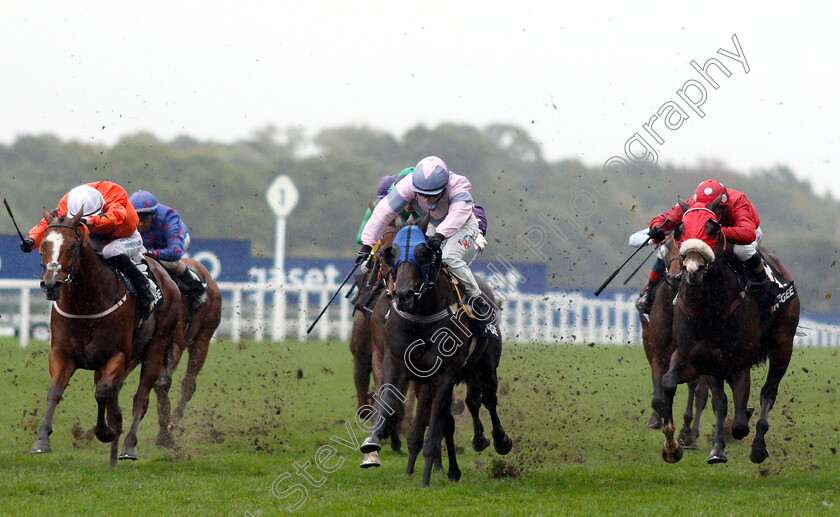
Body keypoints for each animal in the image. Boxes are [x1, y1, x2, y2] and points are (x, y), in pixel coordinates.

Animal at [30, 208, 180, 466]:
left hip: (155, 349)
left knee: (141, 399)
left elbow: (102, 392)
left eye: (72, 245)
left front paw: (105, 432)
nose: (51, 285)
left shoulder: (116, 355)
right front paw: (42, 439)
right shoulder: (62, 354)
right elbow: (55, 391)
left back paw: (128, 446)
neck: (86, 305)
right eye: (44, 245)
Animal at [356, 220, 512, 486]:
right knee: (463, 409)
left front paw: (426, 478)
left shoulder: (444, 375)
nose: (402, 294)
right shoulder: (393, 363)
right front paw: (373, 444)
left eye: (423, 253)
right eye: (389, 253)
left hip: (486, 366)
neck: (422, 316)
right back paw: (462, 458)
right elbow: (388, 402)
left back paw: (498, 440)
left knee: (488, 399)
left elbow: (433, 426)